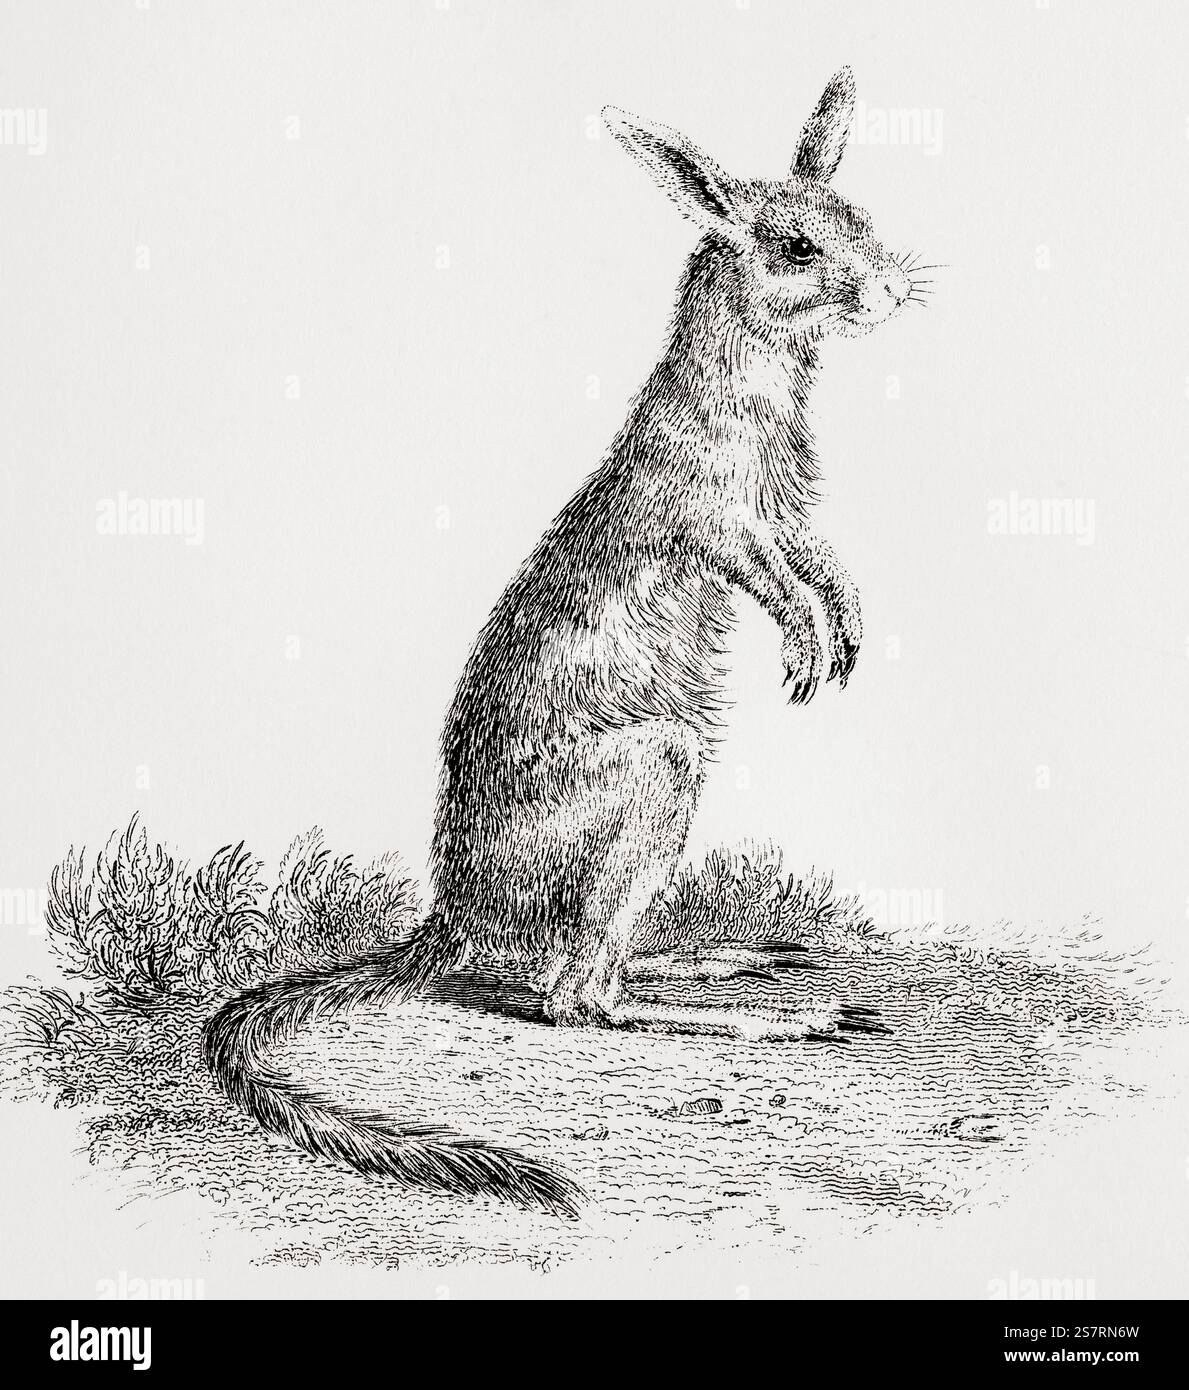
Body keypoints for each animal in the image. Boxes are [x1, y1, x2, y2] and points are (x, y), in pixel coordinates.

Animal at [205, 67, 926, 1216]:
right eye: (794, 249)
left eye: (858, 219)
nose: (893, 291)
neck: (756, 386)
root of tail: (450, 919)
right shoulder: (717, 521)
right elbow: (773, 577)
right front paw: (807, 654)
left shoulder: (787, 513)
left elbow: (823, 563)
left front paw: (845, 635)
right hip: (658, 770)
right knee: (573, 997)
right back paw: (783, 1019)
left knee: (591, 967)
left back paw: (728, 959)